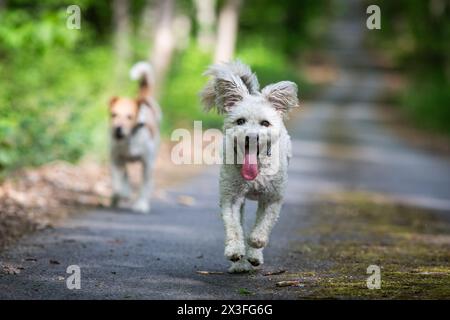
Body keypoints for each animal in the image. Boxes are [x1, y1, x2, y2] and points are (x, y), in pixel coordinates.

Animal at [108, 61, 162, 214]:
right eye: (113, 114)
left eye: (129, 117)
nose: (118, 129)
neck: (129, 140)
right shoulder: (115, 159)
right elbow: (117, 184)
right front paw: (120, 195)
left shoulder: (147, 164)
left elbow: (144, 187)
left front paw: (141, 205)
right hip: (122, 159)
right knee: (125, 175)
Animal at [200, 60, 298, 272]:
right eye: (240, 121)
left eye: (265, 123)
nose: (251, 137)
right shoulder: (231, 197)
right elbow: (234, 227)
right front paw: (235, 252)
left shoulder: (273, 198)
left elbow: (263, 224)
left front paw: (256, 242)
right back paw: (240, 264)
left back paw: (254, 255)